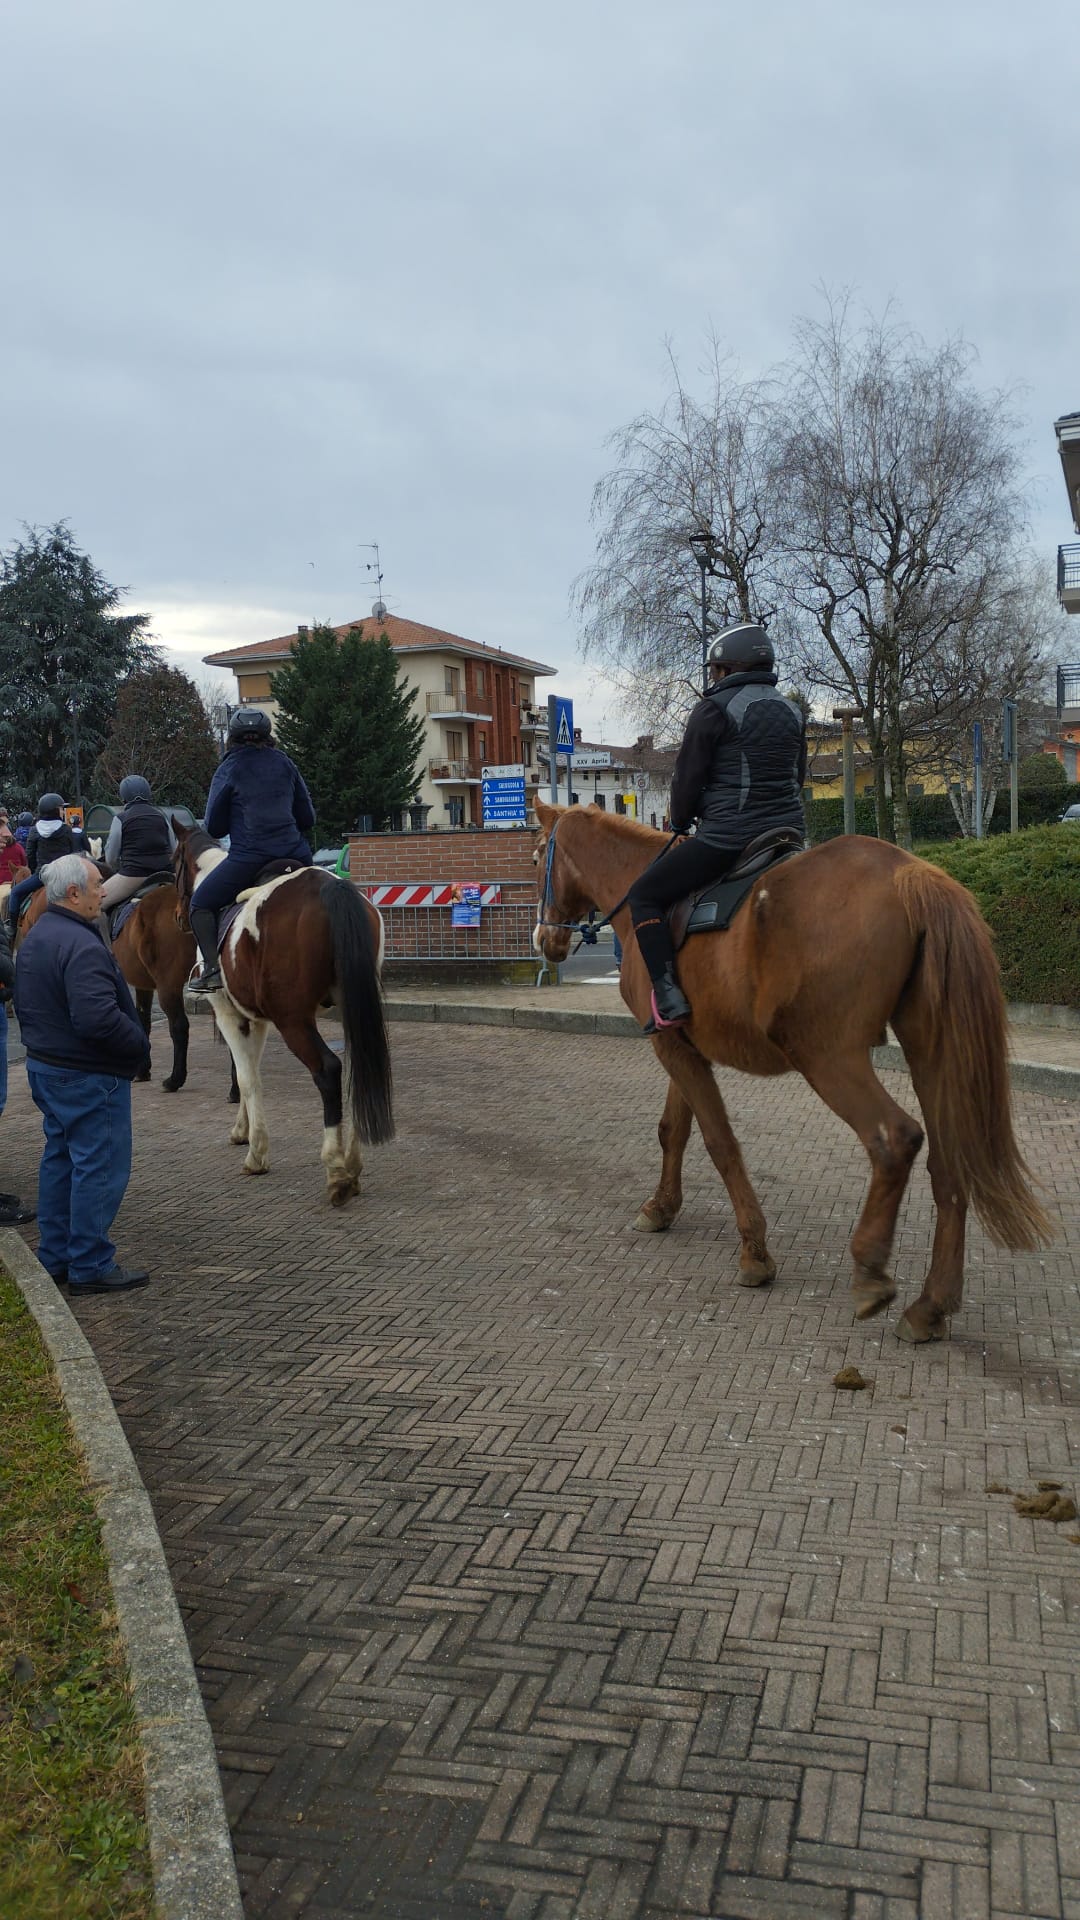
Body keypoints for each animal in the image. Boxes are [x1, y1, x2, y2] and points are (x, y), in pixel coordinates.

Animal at [174, 821, 393, 1198]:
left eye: (174, 863)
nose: (178, 915)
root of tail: (333, 887)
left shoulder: (229, 1013)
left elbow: (245, 1076)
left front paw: (256, 1153)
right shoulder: (257, 1019)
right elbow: (251, 1070)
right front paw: (243, 1131)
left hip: (294, 1021)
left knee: (328, 1071)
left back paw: (336, 1167)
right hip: (351, 1009)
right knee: (357, 1067)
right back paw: (352, 1163)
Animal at [534, 802, 1045, 1344]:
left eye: (537, 856)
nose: (545, 939)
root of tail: (910, 873)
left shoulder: (671, 1048)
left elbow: (719, 1143)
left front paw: (755, 1254)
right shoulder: (680, 1046)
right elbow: (674, 1129)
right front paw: (661, 1207)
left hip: (827, 1056)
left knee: (894, 1138)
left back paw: (870, 1271)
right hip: (929, 1055)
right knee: (948, 1165)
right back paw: (930, 1306)